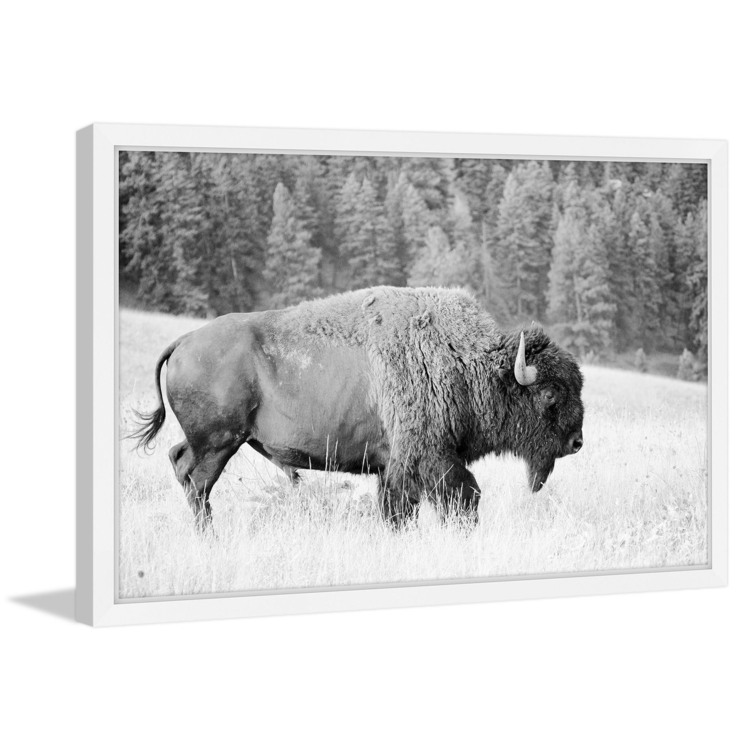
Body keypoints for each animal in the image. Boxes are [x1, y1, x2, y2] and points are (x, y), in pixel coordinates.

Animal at [131, 286, 584, 529]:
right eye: (550, 394)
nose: (577, 442)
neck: (466, 361)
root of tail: (184, 341)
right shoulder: (431, 458)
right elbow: (461, 498)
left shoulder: (392, 468)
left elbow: (398, 511)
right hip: (219, 443)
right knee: (197, 483)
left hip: (212, 442)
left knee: (179, 462)